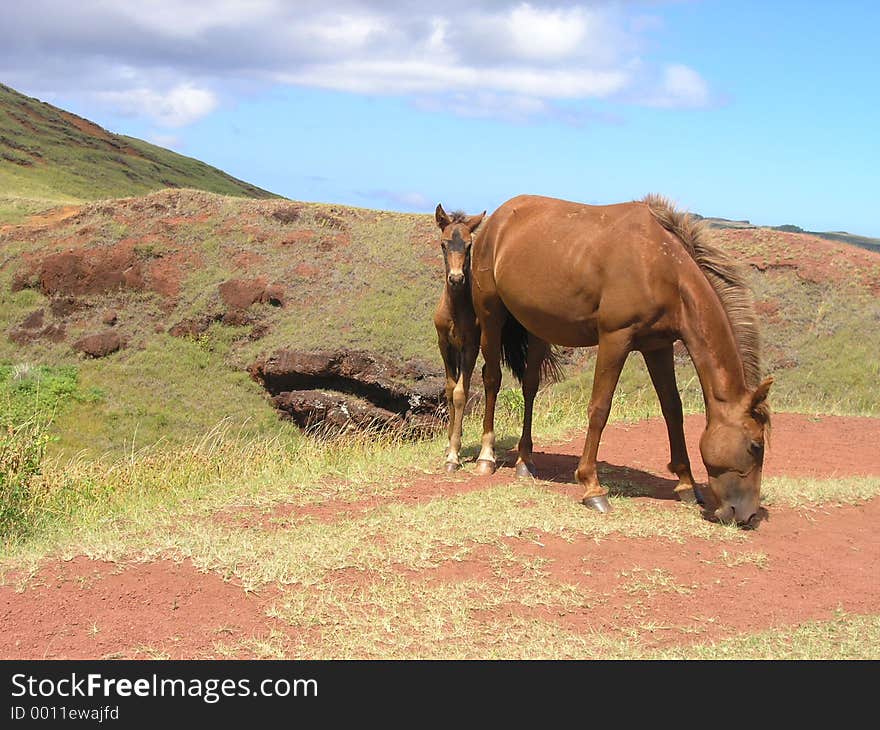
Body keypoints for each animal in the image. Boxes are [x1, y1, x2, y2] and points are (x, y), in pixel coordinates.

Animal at [468, 193, 768, 524]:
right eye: (756, 446)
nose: (748, 515)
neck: (662, 266)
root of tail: (495, 219)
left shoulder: (658, 346)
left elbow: (672, 409)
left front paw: (686, 485)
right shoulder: (615, 338)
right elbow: (600, 409)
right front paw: (591, 487)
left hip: (536, 326)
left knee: (530, 386)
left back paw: (525, 461)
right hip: (490, 314)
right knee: (492, 378)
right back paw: (486, 458)